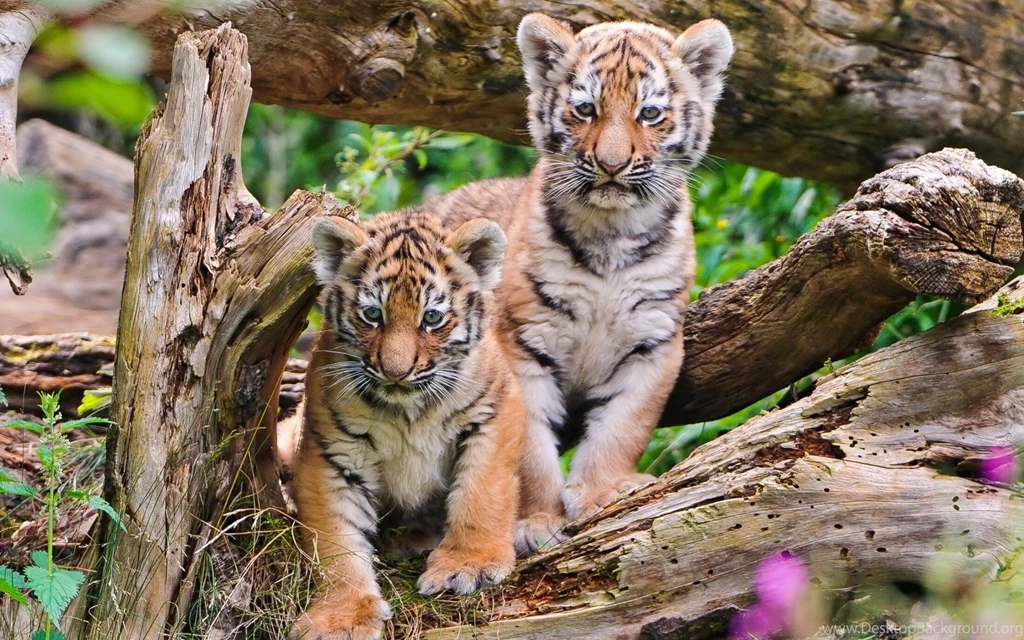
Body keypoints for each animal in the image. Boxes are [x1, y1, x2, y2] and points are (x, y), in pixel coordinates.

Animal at [289, 210, 525, 640]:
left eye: (431, 318)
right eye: (372, 314)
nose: (396, 372)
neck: (408, 412)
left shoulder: (494, 412)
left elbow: (481, 492)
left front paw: (469, 565)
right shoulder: (330, 453)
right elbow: (336, 539)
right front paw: (342, 616)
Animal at [431, 14, 735, 553]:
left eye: (650, 113)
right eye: (585, 109)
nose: (612, 165)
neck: (611, 235)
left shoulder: (653, 342)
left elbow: (623, 425)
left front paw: (602, 493)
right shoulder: (522, 342)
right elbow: (529, 448)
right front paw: (535, 521)